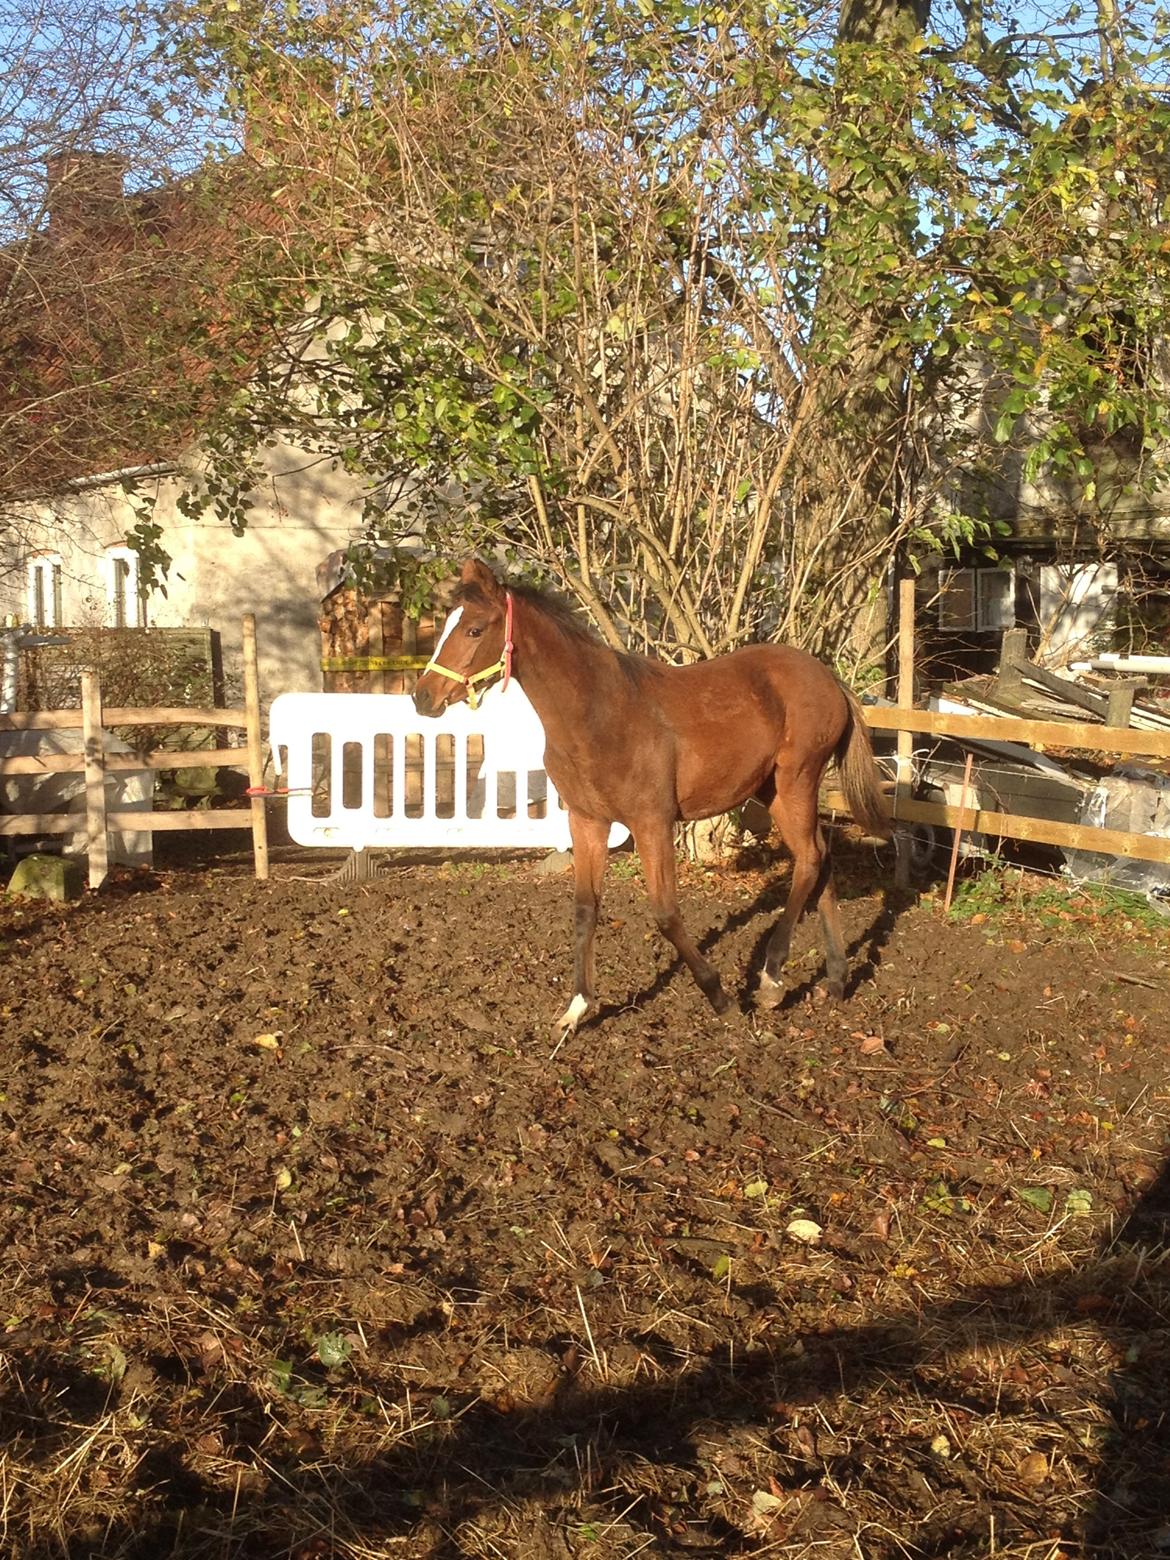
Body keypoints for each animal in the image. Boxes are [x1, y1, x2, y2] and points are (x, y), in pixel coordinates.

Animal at [411, 555, 886, 1042]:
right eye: (446, 624)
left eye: (474, 629)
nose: (422, 696)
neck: (599, 715)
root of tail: (829, 679)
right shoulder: (587, 821)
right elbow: (585, 907)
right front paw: (576, 1009)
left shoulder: (652, 822)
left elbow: (665, 912)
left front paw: (720, 997)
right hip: (773, 790)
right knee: (822, 858)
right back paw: (835, 980)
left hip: (796, 781)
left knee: (809, 860)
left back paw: (771, 980)